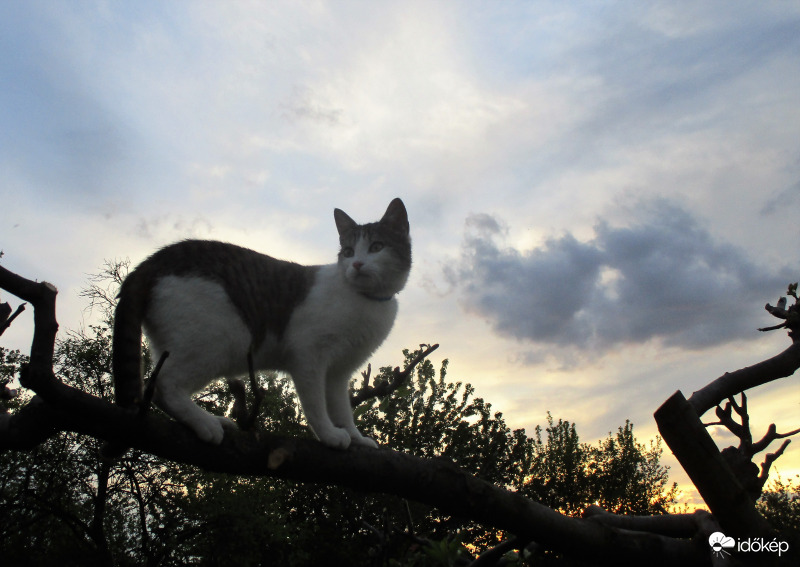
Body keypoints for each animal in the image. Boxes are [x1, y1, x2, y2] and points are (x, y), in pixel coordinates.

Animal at [111, 197, 412, 450]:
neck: (365, 300)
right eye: (348, 252)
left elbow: (341, 407)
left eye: (376, 247)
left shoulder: (339, 371)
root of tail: (151, 262)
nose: (357, 264)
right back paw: (205, 423)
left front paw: (356, 437)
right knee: (164, 385)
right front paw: (329, 435)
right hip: (215, 341)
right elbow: (315, 404)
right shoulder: (308, 357)